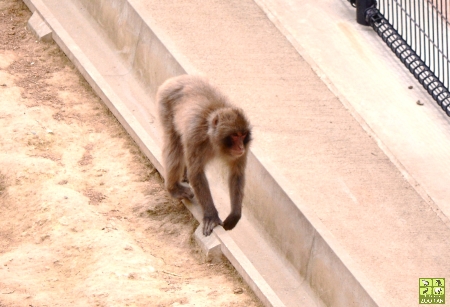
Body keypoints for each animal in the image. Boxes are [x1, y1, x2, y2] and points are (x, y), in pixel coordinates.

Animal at [156, 76, 251, 237]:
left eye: (243, 135)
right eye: (234, 135)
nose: (241, 147)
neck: (213, 138)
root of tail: (176, 78)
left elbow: (236, 174)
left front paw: (235, 215)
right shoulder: (195, 136)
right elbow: (197, 173)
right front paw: (211, 216)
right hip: (165, 104)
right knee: (174, 144)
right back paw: (174, 188)